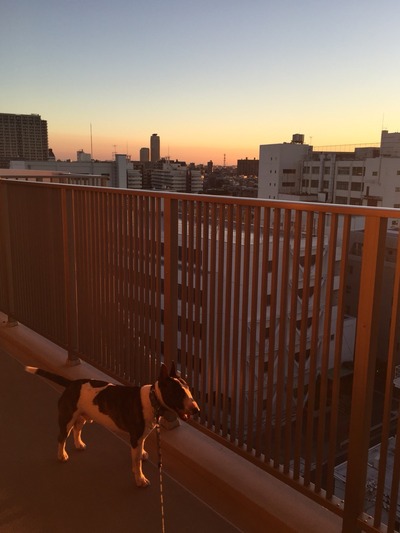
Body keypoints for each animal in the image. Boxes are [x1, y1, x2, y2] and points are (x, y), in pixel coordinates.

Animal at [25, 362, 199, 487]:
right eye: (177, 393)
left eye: (188, 389)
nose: (196, 409)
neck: (153, 399)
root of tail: (71, 384)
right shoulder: (135, 437)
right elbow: (136, 462)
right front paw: (140, 479)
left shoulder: (141, 436)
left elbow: (141, 449)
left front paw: (142, 454)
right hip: (67, 417)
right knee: (62, 436)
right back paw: (62, 455)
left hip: (82, 416)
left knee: (77, 429)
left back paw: (79, 444)